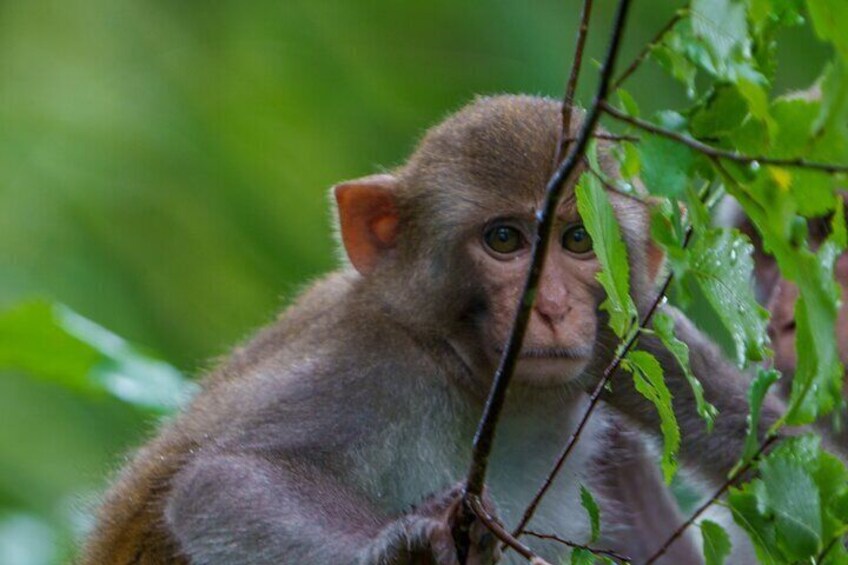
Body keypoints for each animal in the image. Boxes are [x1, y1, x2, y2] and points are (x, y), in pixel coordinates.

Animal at [83, 94, 780, 560]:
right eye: (505, 240)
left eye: (579, 240)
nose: (553, 307)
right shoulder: (369, 365)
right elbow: (220, 482)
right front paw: (401, 551)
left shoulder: (640, 346)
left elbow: (765, 445)